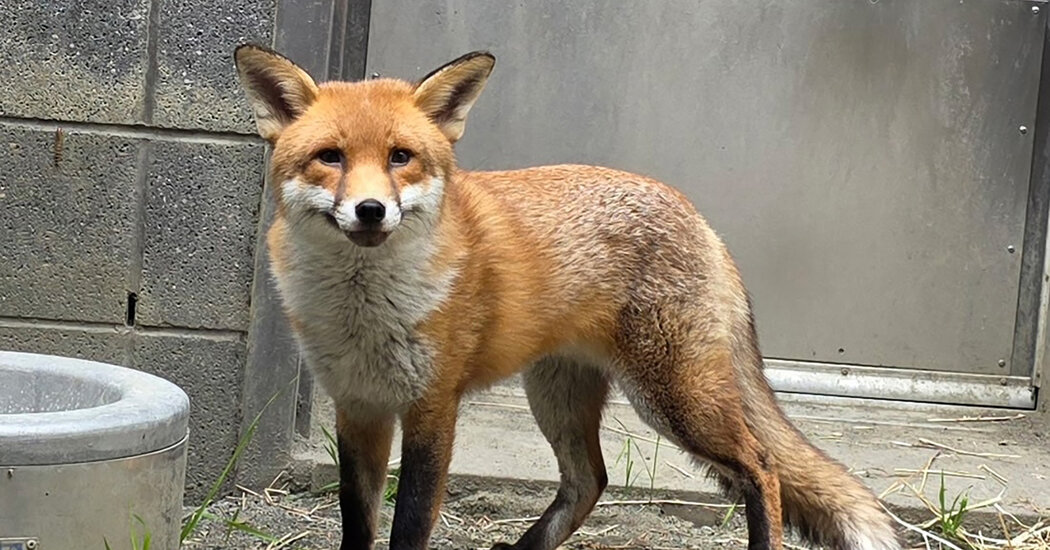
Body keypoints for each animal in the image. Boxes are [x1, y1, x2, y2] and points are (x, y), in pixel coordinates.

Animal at [233, 44, 901, 550]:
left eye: (401, 157)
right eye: (330, 157)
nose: (371, 210)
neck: (364, 314)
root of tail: (697, 214)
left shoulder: (433, 408)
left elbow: (410, 525)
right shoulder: (358, 407)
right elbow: (358, 525)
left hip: (675, 399)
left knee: (762, 467)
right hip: (557, 395)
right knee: (590, 481)